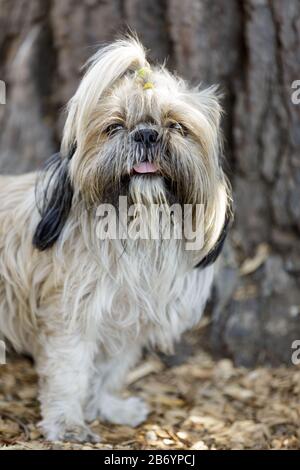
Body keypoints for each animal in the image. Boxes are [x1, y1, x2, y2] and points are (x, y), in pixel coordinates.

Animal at [0, 35, 232, 440]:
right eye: (115, 126)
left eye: (176, 126)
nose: (146, 133)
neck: (137, 228)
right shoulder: (72, 317)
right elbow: (70, 374)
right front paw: (68, 423)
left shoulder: (128, 320)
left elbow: (107, 372)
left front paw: (107, 408)